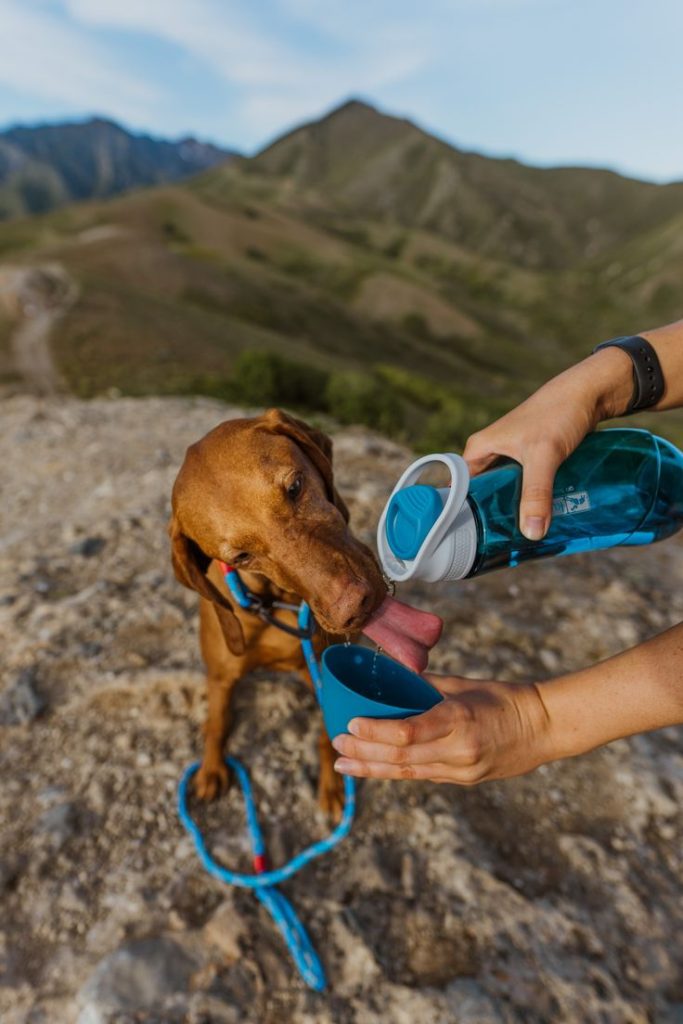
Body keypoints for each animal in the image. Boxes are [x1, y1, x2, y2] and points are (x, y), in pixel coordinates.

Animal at [167, 405, 387, 815]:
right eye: (241, 556)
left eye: (295, 487)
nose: (355, 605)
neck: (274, 602)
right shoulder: (222, 675)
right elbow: (218, 722)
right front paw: (210, 768)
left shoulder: (323, 670)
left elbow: (327, 733)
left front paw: (333, 785)